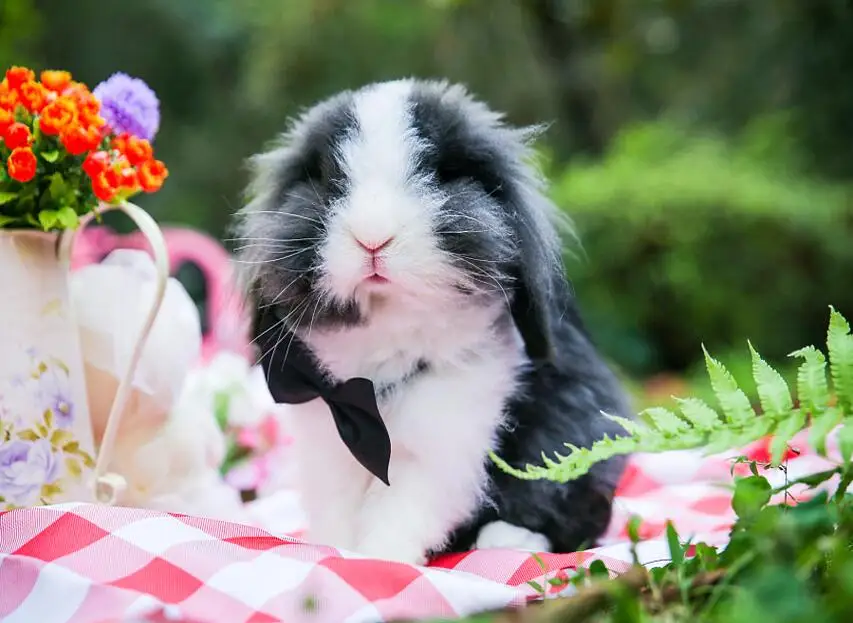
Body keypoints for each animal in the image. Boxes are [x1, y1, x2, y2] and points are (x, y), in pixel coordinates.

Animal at [233, 79, 632, 565]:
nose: (372, 238)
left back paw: (506, 540)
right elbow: (340, 509)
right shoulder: (331, 451)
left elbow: (399, 510)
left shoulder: (440, 452)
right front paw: (337, 551)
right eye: (328, 178)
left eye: (441, 174)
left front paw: (380, 559)